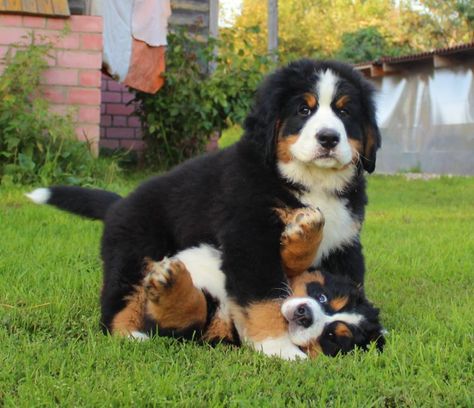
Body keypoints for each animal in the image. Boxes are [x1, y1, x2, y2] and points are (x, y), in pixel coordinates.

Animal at [115, 209, 386, 358]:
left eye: (331, 337)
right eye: (323, 297)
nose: (304, 314)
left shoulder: (203, 331)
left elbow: (193, 312)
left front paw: (169, 282)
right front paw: (306, 229)